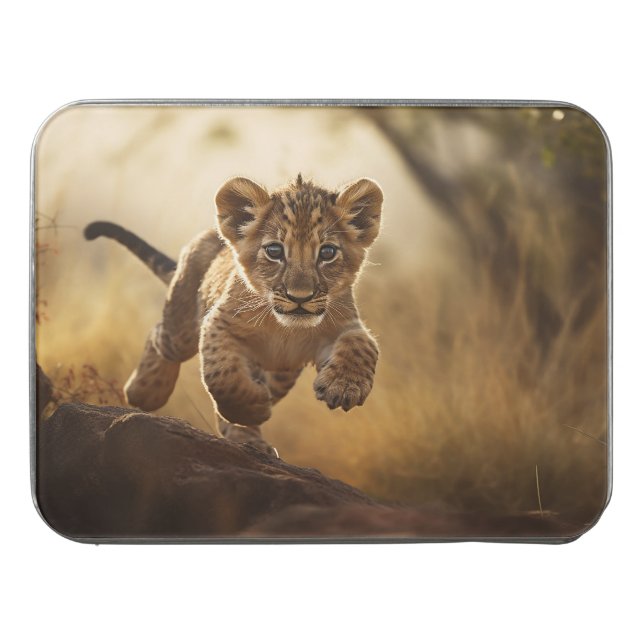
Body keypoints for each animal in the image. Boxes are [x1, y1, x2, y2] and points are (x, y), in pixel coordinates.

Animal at [84, 174, 382, 448]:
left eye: (327, 252)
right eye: (274, 251)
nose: (300, 297)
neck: (284, 328)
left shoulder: (345, 325)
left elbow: (362, 345)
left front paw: (345, 386)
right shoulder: (218, 323)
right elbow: (224, 379)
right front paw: (255, 408)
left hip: (283, 373)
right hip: (181, 329)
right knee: (160, 336)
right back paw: (144, 392)